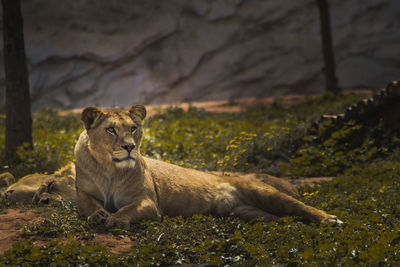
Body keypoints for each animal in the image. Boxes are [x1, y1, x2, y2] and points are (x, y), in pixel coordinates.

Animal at [74, 105, 340, 229]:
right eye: (110, 129)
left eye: (133, 128)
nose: (129, 146)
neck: (110, 169)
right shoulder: (83, 192)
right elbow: (87, 204)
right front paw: (98, 214)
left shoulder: (149, 202)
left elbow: (128, 209)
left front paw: (116, 219)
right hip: (250, 213)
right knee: (284, 218)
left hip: (263, 192)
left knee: (301, 207)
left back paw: (330, 219)